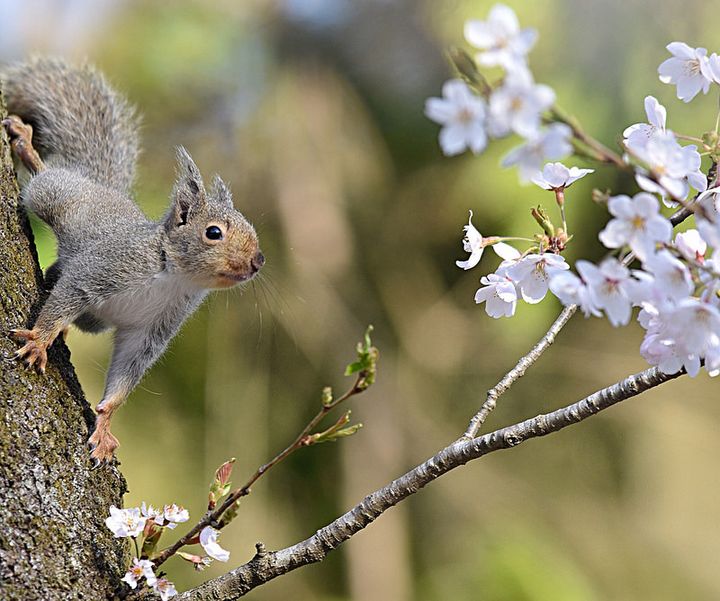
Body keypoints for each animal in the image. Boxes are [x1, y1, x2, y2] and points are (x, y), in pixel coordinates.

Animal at [0, 57, 264, 464]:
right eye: (213, 232)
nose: (258, 260)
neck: (174, 275)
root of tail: (100, 185)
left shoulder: (152, 330)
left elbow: (126, 374)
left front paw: (105, 424)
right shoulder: (102, 269)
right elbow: (67, 295)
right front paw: (39, 341)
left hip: (94, 321)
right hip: (56, 196)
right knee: (44, 179)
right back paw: (27, 146)